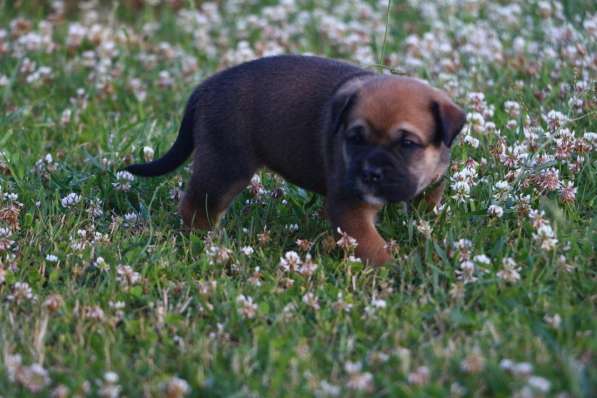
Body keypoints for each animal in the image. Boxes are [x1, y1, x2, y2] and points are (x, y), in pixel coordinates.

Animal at [125, 53, 466, 264]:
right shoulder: (350, 206)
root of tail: (205, 87)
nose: (369, 173)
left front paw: (424, 226)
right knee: (196, 207)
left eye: (407, 144)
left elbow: (426, 204)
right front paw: (392, 269)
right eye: (355, 139)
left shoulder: (432, 181)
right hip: (225, 167)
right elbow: (371, 244)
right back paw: (206, 243)